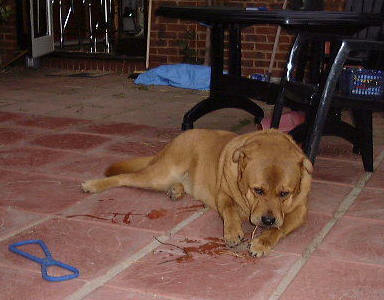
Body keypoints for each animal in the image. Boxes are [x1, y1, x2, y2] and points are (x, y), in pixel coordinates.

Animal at [81, 127, 312, 256]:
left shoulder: (299, 212)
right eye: (258, 190)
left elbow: (280, 229)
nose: (267, 220)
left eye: (285, 193)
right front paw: (232, 231)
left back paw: (176, 190)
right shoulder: (222, 195)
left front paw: (263, 242)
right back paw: (93, 184)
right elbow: (229, 210)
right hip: (157, 176)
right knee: (124, 178)